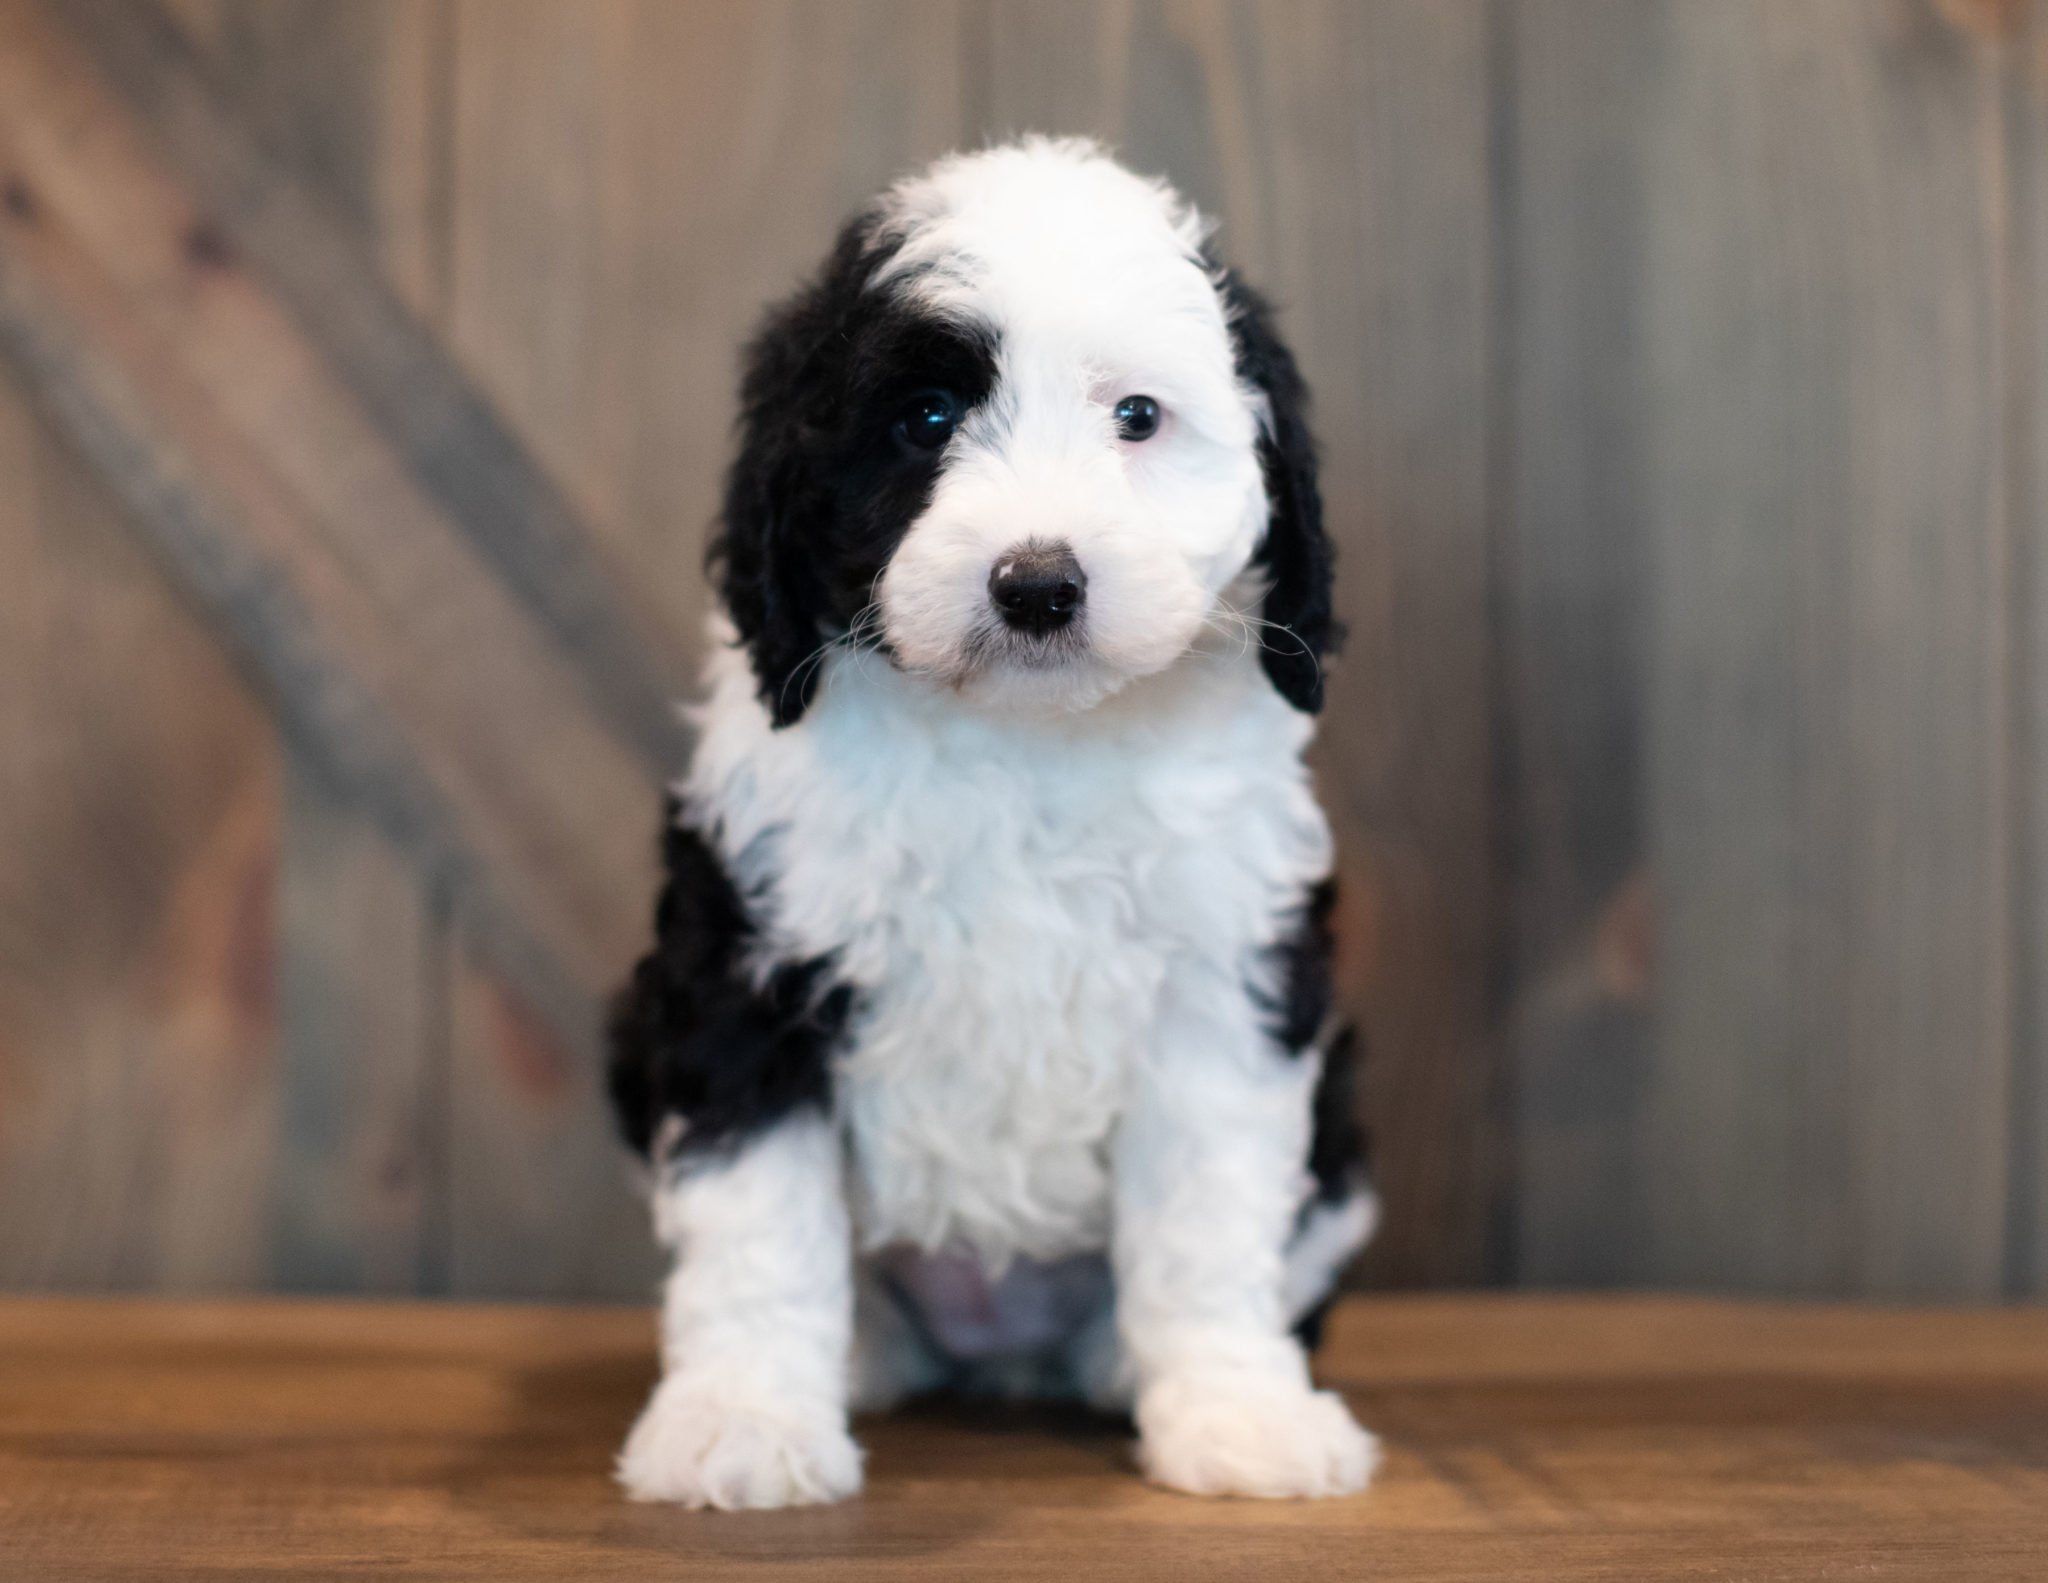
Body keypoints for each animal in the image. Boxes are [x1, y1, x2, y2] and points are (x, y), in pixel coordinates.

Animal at [602, 139, 1376, 1507]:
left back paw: (1119, 1364)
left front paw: (1235, 1411)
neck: (1026, 739)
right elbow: (757, 1215)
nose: (1036, 584)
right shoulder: (744, 966)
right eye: (924, 418)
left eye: (1137, 417)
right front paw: (742, 1419)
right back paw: (860, 1356)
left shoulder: (1225, 980)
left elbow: (1207, 1214)